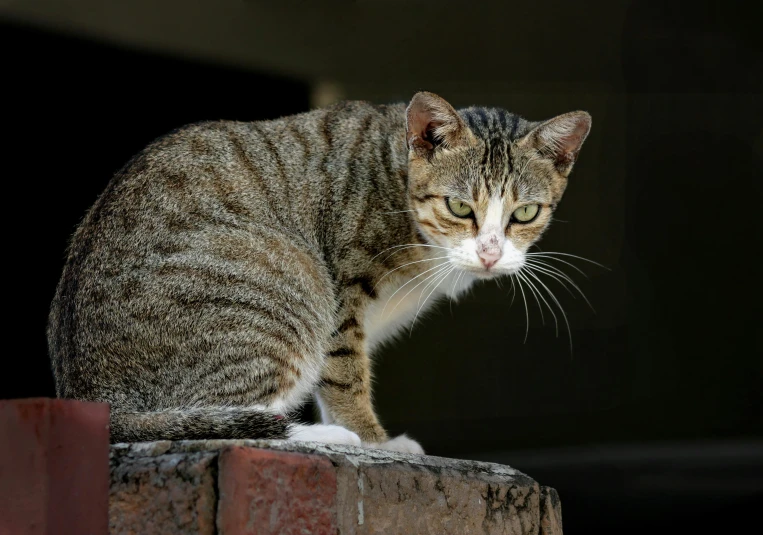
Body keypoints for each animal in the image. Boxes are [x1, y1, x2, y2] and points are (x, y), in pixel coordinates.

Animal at [47, 92, 592, 452]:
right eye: (460, 206)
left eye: (524, 213)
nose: (490, 253)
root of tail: (90, 396)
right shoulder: (343, 287)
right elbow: (345, 374)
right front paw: (374, 440)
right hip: (289, 278)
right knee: (225, 419)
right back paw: (327, 435)